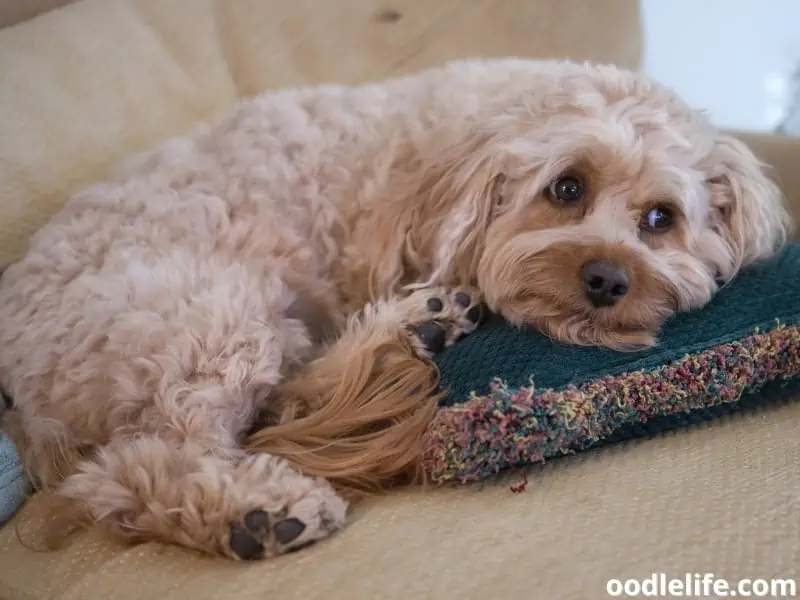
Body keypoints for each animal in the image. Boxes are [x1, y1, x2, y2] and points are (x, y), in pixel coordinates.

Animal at [0, 58, 792, 560]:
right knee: (144, 464)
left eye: (661, 219)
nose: (605, 278)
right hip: (206, 314)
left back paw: (415, 327)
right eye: (566, 187)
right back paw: (258, 511)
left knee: (282, 402)